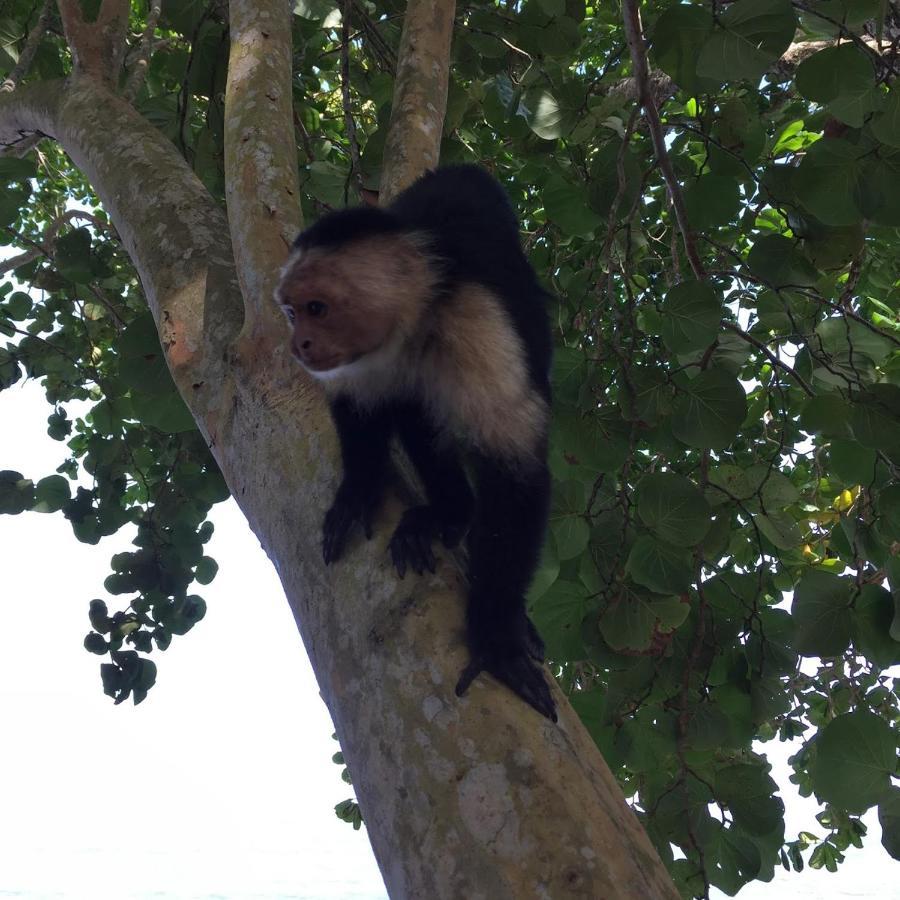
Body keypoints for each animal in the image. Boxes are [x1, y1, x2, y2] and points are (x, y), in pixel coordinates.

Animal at [276, 165, 556, 720]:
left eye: (318, 308)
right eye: (293, 313)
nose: (298, 346)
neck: (414, 321)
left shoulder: (476, 320)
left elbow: (514, 468)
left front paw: (496, 640)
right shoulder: (362, 356)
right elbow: (357, 405)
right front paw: (358, 490)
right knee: (411, 406)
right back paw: (448, 509)